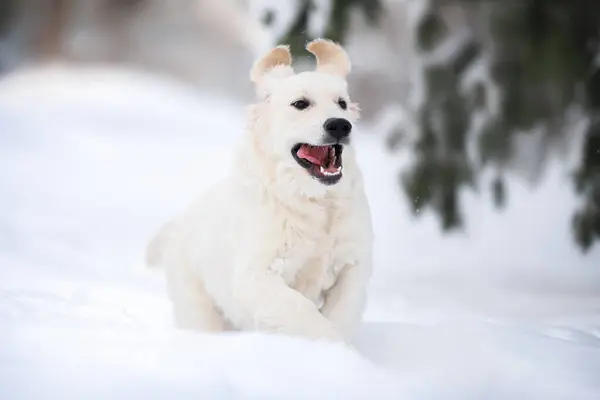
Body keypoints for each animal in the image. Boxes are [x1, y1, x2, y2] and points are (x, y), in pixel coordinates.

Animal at [145, 39, 370, 342]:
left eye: (342, 103)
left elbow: (344, 310)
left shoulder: (352, 262)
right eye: (300, 103)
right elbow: (303, 312)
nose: (340, 125)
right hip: (197, 305)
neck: (312, 202)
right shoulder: (256, 275)